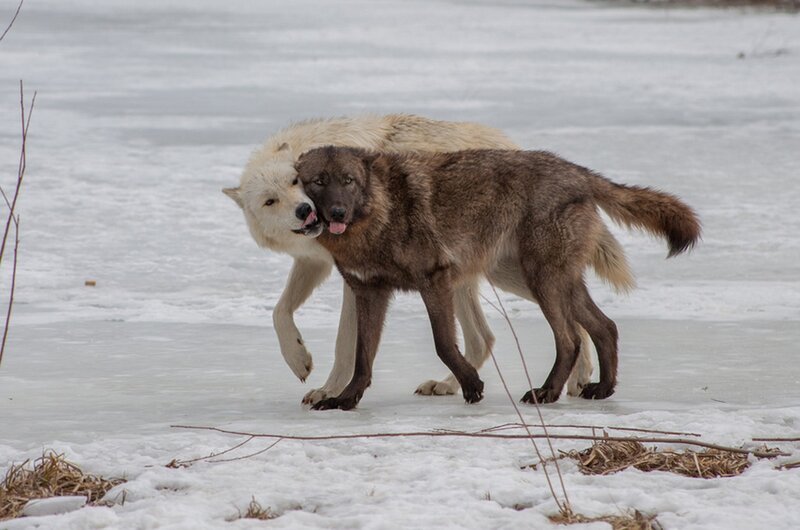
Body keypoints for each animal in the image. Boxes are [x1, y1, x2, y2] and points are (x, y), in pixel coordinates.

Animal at [223, 115, 634, 404]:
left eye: (296, 183)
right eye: (270, 200)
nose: (305, 212)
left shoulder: (356, 278)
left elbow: (345, 343)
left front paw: (328, 390)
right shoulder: (320, 263)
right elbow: (280, 311)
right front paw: (299, 358)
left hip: (514, 274)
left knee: (563, 327)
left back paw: (576, 381)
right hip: (484, 275)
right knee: (486, 337)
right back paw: (452, 385)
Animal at [295, 146, 700, 410]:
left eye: (348, 180)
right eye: (318, 181)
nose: (337, 212)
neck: (377, 214)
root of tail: (576, 170)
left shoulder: (435, 280)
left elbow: (443, 344)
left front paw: (472, 386)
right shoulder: (369, 292)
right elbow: (362, 357)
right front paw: (345, 399)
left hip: (541, 281)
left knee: (570, 339)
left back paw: (546, 393)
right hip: (553, 282)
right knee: (605, 327)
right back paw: (602, 389)